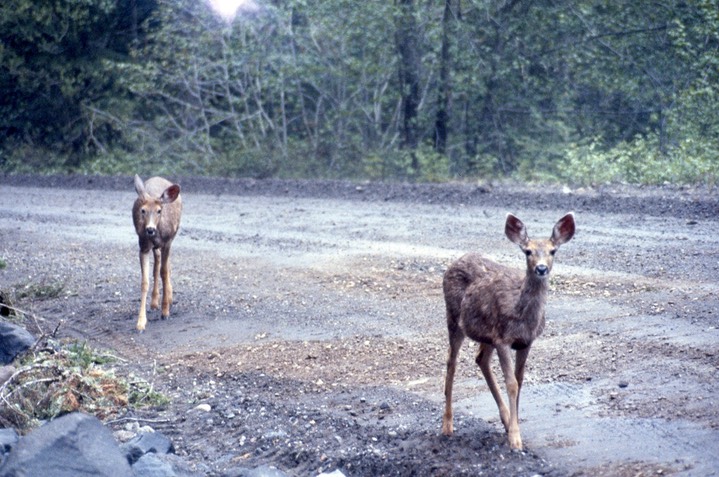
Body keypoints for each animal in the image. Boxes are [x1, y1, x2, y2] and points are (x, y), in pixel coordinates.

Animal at [132, 174, 183, 330]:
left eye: (159, 211)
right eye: (143, 210)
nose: (150, 229)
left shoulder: (167, 242)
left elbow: (164, 273)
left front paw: (165, 311)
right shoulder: (143, 246)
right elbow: (145, 281)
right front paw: (141, 322)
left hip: (172, 236)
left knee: (165, 266)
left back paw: (169, 298)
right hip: (155, 247)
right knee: (158, 262)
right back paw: (154, 302)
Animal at [442, 212, 576, 450]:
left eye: (553, 251)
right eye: (528, 251)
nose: (541, 268)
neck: (522, 315)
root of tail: (455, 262)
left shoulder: (526, 342)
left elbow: (519, 380)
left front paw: (515, 426)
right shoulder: (503, 338)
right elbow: (511, 383)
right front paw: (515, 438)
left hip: (486, 333)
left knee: (480, 359)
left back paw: (504, 418)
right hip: (454, 317)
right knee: (451, 361)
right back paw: (447, 425)